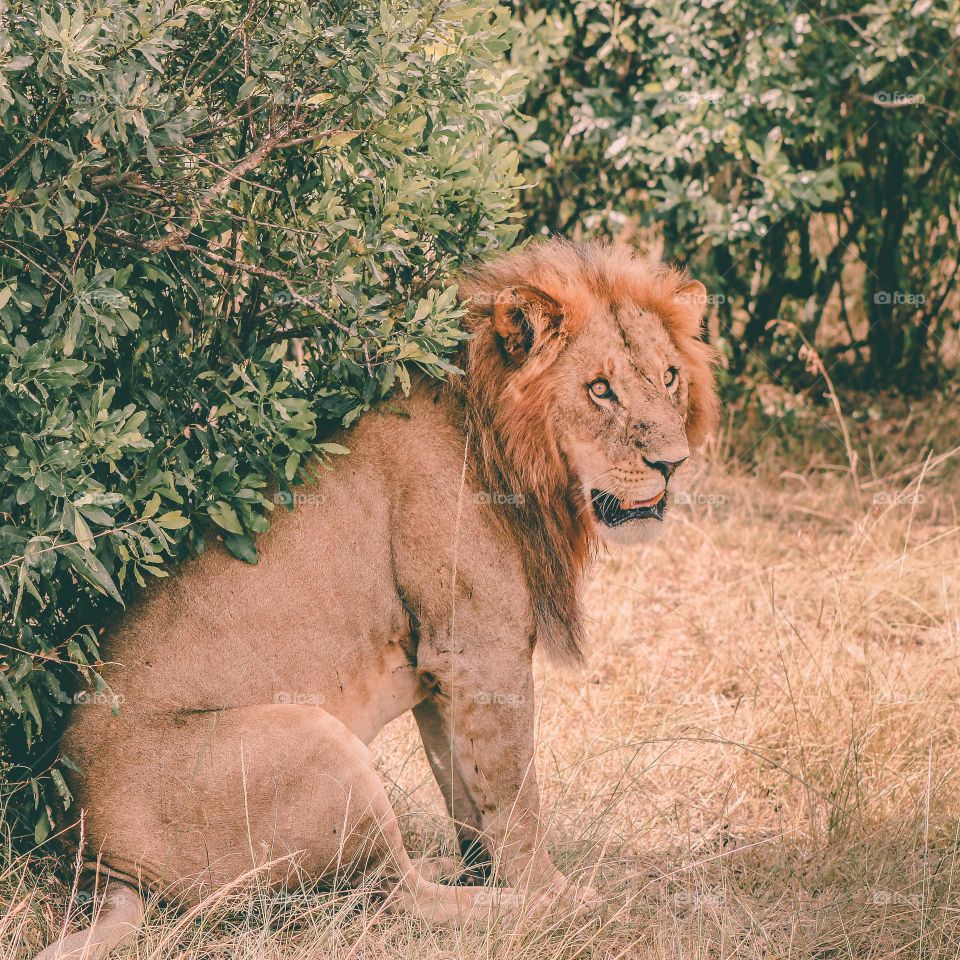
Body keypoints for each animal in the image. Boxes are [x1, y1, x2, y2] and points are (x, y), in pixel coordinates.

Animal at [35, 239, 718, 959]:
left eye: (670, 377)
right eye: (600, 389)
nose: (672, 463)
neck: (508, 447)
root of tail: (95, 860)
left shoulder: (444, 669)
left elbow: (468, 795)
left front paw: (486, 867)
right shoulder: (484, 652)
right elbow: (517, 801)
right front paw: (548, 889)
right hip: (316, 745)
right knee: (399, 900)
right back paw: (554, 909)